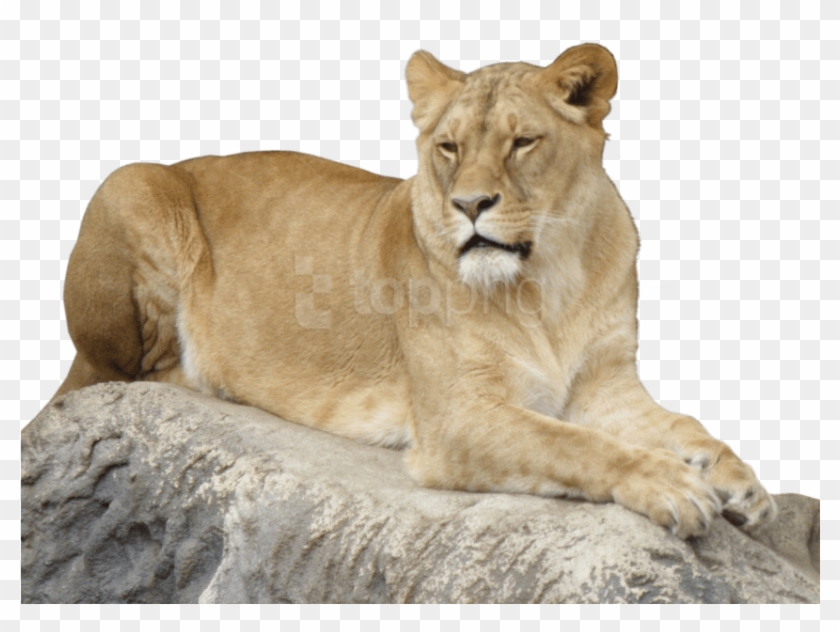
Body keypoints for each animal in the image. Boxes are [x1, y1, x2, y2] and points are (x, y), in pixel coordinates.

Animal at [54, 44, 776, 539]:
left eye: (522, 142)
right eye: (449, 148)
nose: (470, 205)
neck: (550, 276)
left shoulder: (606, 386)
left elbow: (683, 425)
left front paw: (741, 483)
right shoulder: (456, 417)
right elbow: (574, 444)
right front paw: (670, 485)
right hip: (129, 182)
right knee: (124, 372)